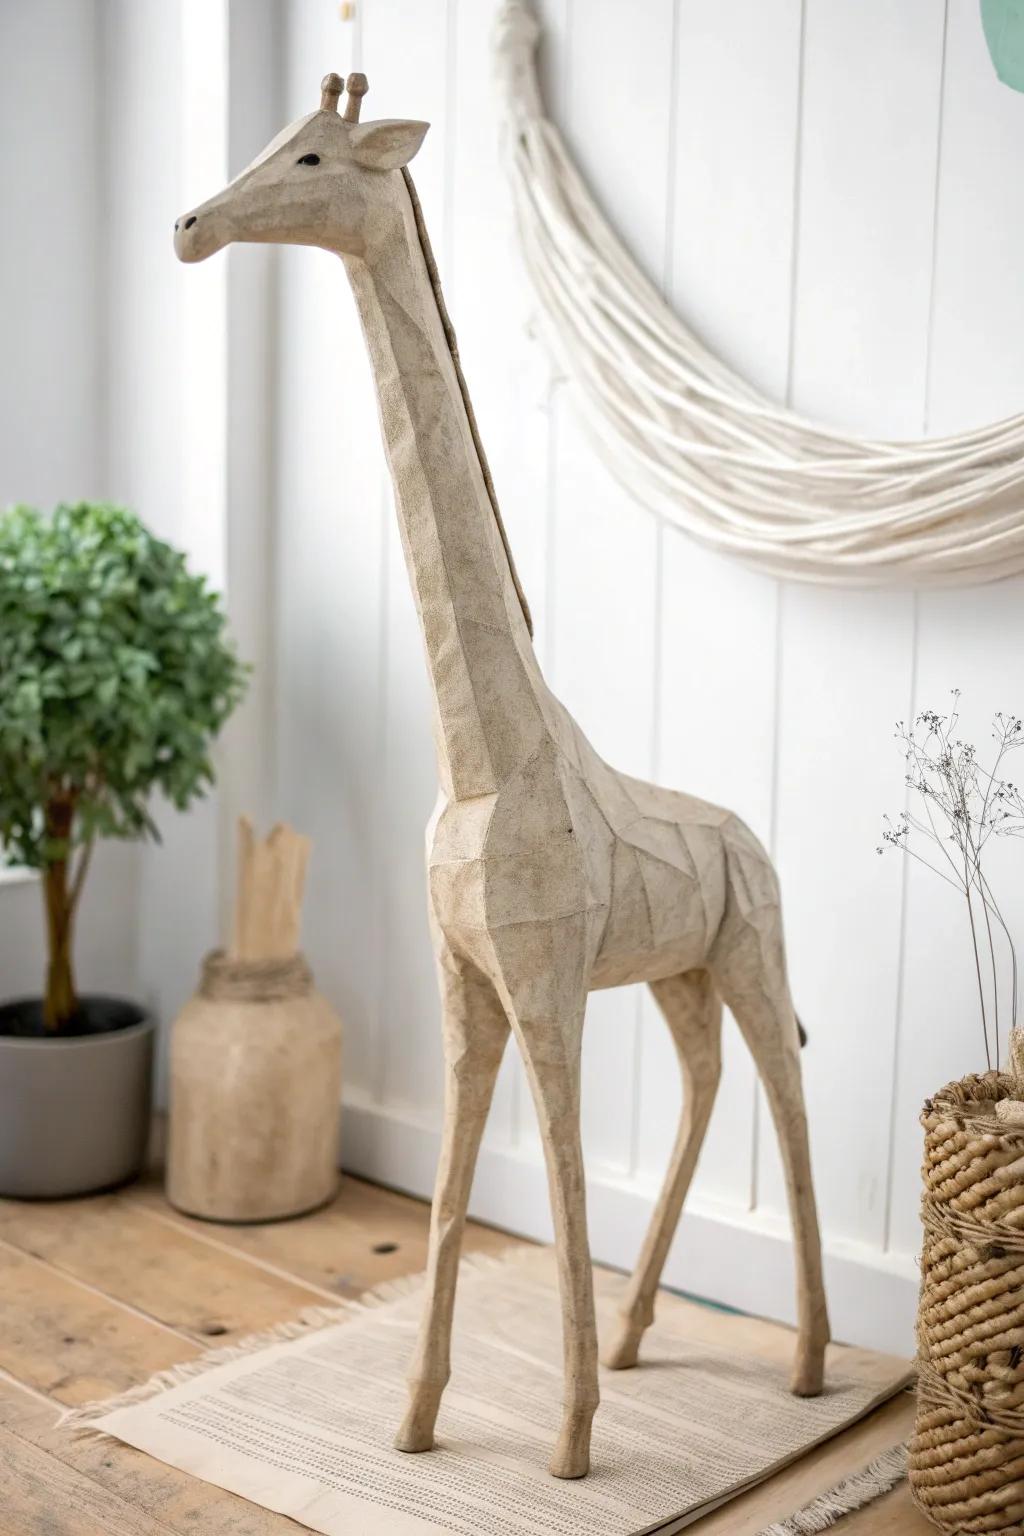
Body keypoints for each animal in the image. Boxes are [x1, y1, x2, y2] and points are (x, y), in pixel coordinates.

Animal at [175, 71, 830, 1481]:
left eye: (310, 159)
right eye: (269, 141)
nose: (192, 225)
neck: (483, 759)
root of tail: (750, 834)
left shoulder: (543, 980)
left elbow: (563, 1167)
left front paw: (569, 1446)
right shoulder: (462, 978)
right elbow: (450, 1183)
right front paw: (416, 1420)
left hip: (752, 953)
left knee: (787, 1093)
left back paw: (804, 1362)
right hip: (679, 973)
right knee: (702, 1088)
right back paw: (637, 1339)